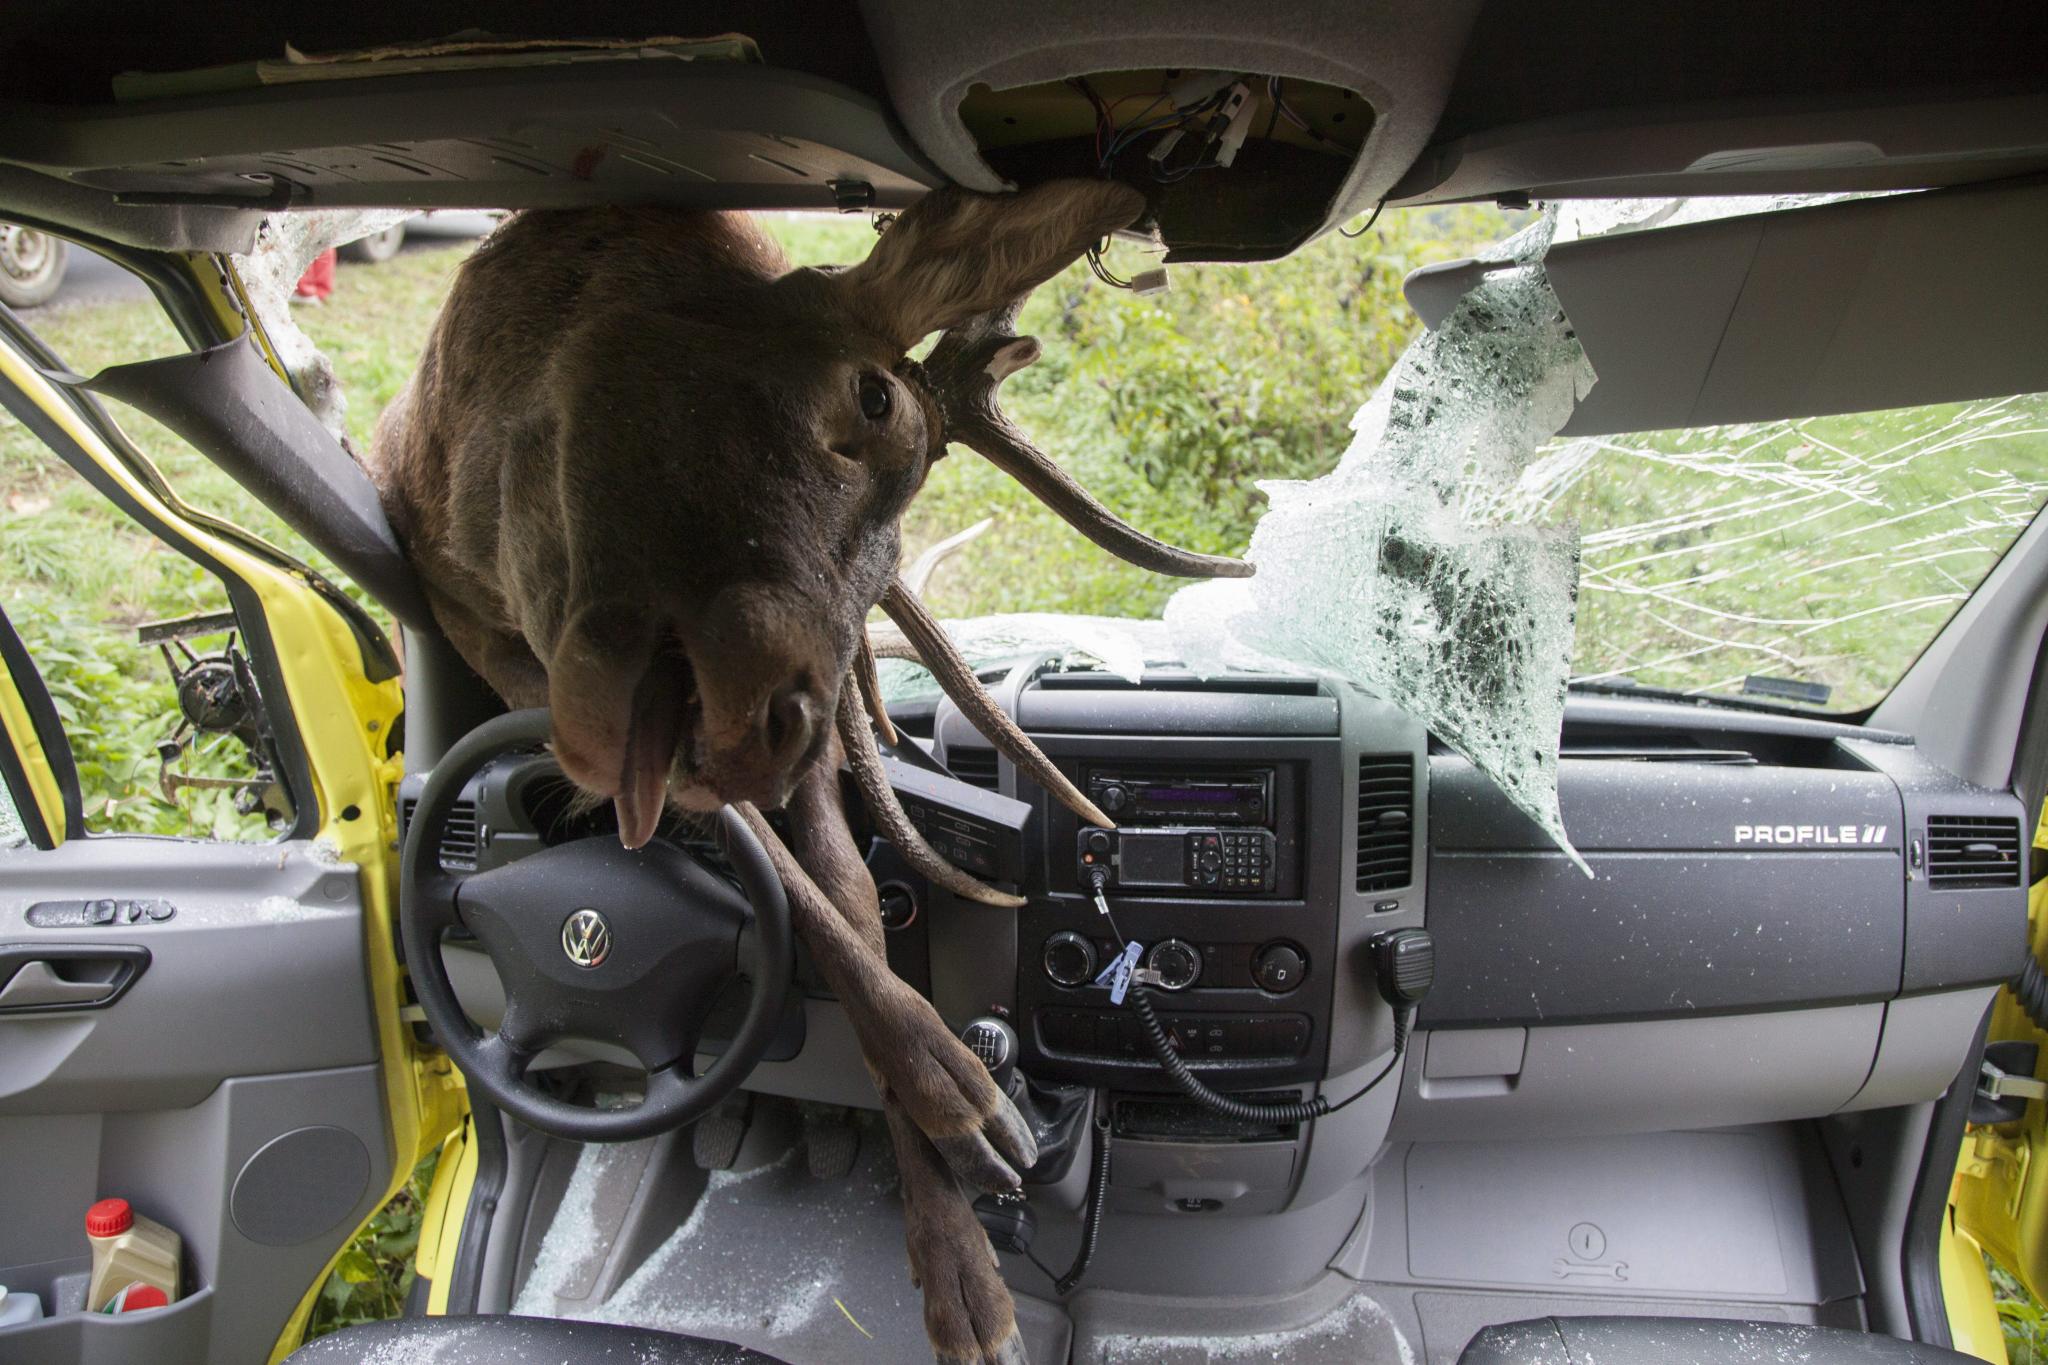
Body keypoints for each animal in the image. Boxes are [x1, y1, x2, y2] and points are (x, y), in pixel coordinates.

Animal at [372, 181, 1245, 1365]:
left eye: (890, 547)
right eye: (871, 397)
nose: (789, 719)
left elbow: (852, 916)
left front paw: (962, 1255)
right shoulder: (484, 633)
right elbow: (802, 908)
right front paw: (963, 1101)